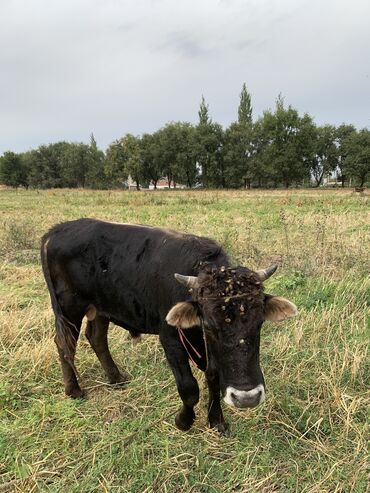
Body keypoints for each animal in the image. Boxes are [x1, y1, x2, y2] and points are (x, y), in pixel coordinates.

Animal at [40, 217, 298, 432]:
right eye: (209, 325)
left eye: (259, 323)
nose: (247, 399)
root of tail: (57, 231)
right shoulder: (171, 340)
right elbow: (189, 388)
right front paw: (184, 420)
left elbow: (213, 378)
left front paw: (216, 420)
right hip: (69, 308)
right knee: (64, 343)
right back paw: (74, 389)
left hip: (101, 308)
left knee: (96, 337)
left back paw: (116, 377)